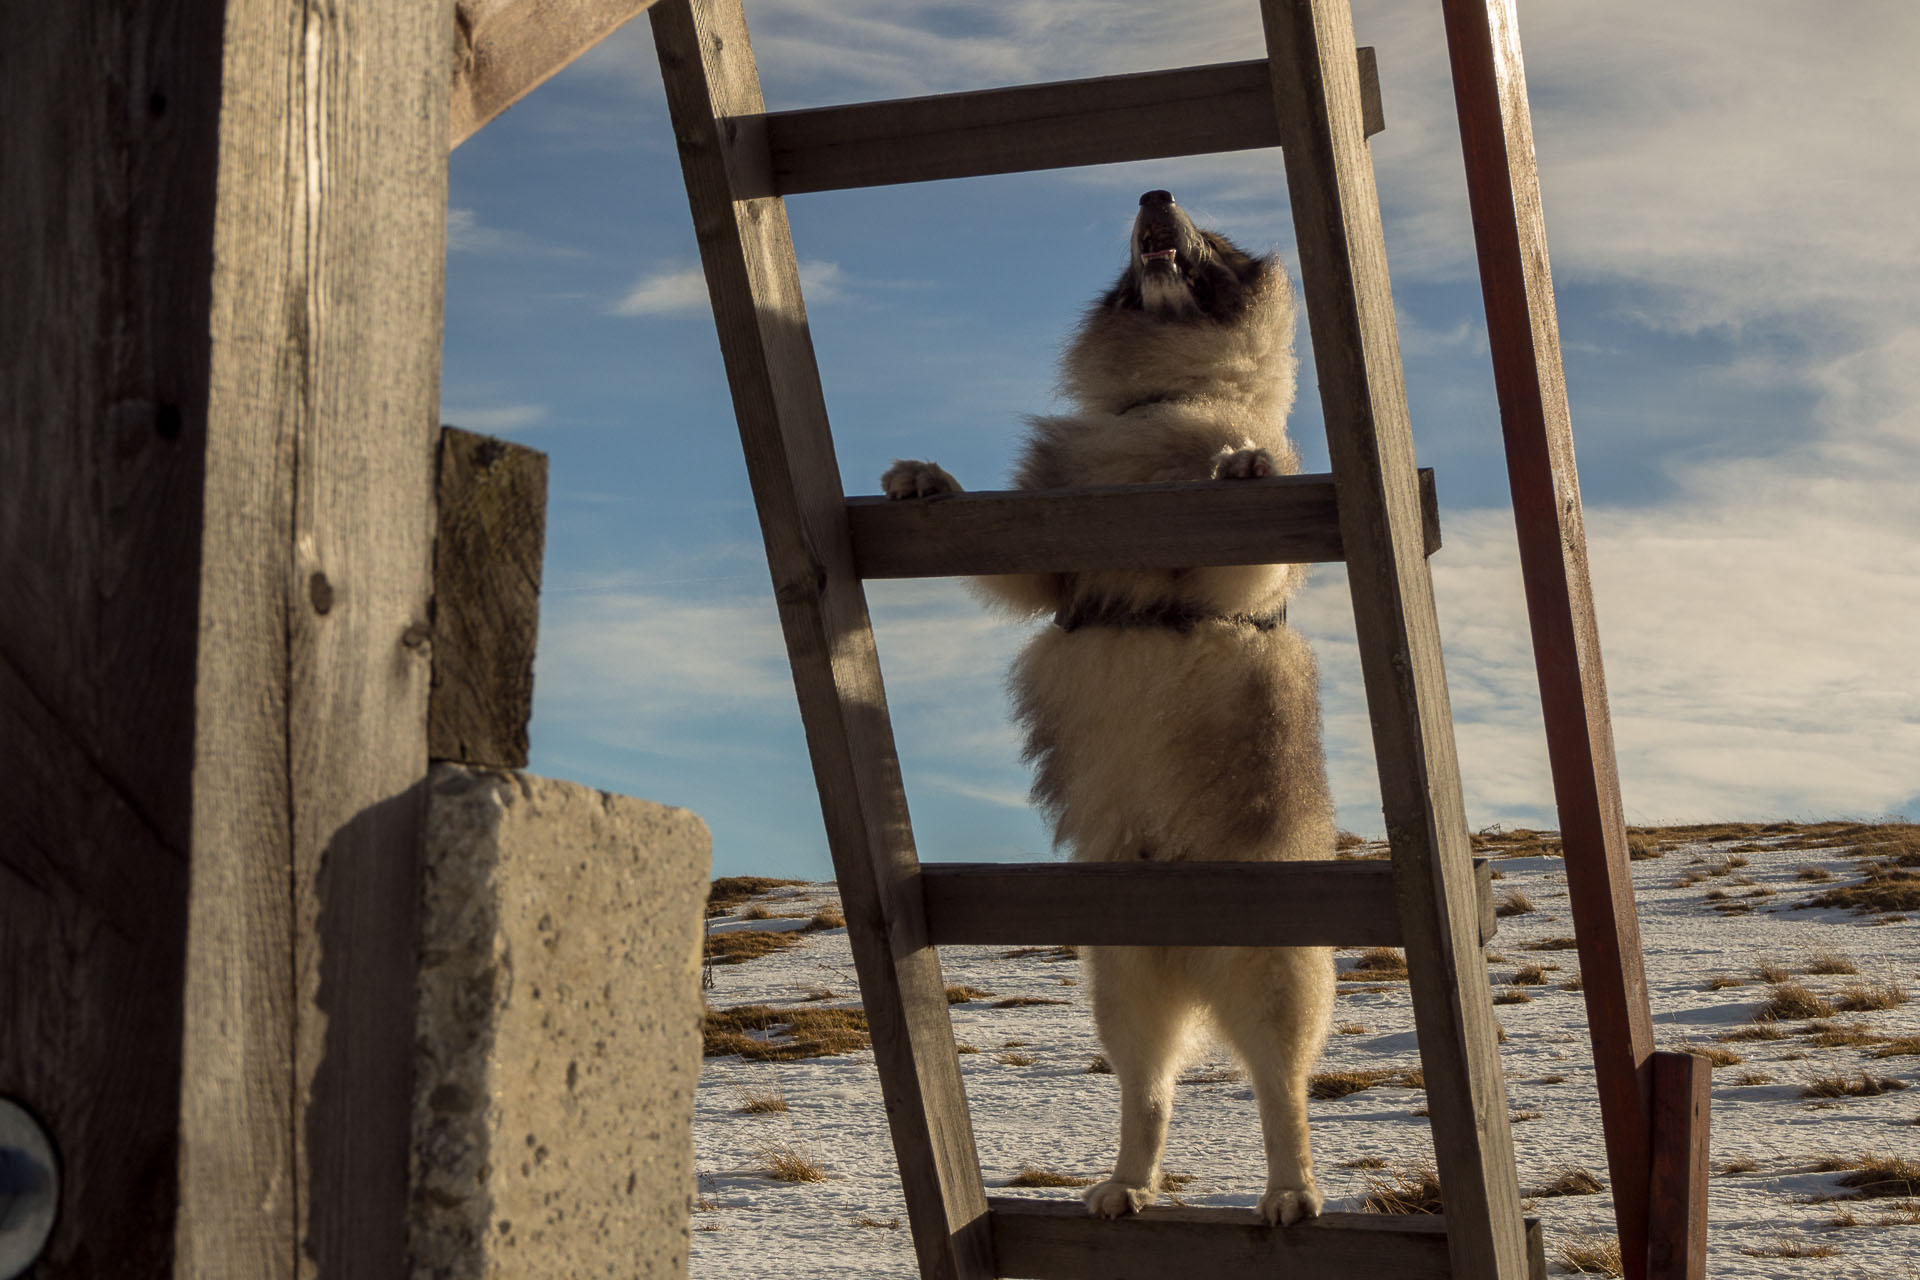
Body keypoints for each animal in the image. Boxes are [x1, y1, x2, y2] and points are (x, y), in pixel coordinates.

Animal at [883, 189, 1336, 1228]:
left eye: (1216, 237)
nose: (1153, 194)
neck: (1158, 404)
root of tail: (1187, 945)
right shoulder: (1043, 565)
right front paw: (928, 480)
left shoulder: (1233, 575)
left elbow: (1242, 524)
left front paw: (1243, 463)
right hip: (1121, 984)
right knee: (1150, 1092)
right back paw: (1127, 1184)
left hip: (1272, 971)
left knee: (1278, 1090)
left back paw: (1290, 1193)